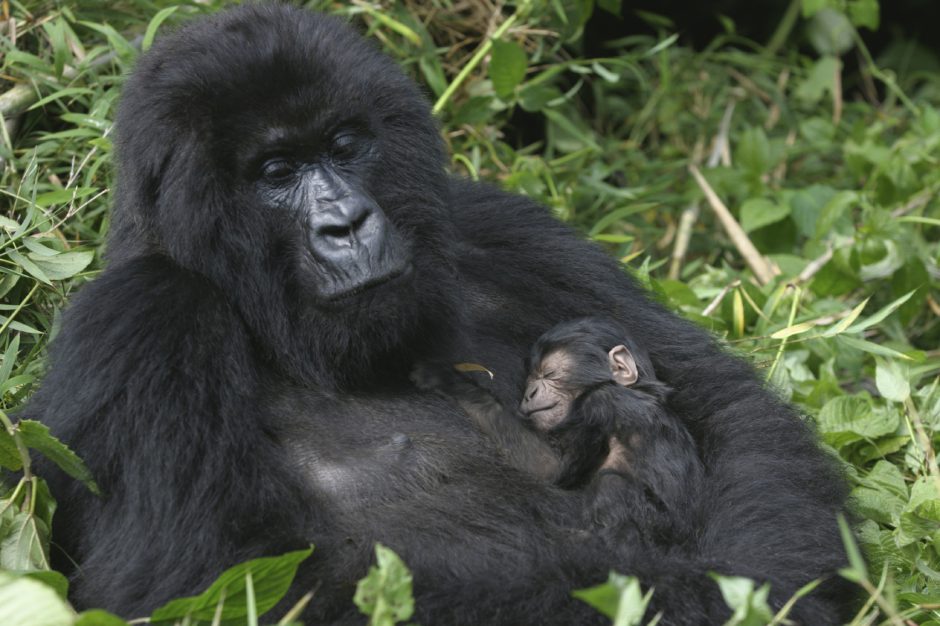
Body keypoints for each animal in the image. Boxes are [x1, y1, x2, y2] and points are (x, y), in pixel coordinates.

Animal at [414, 316, 700, 540]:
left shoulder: (598, 404)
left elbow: (550, 466)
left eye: (549, 374)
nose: (529, 392)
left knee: (613, 484)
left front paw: (447, 379)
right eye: (530, 377)